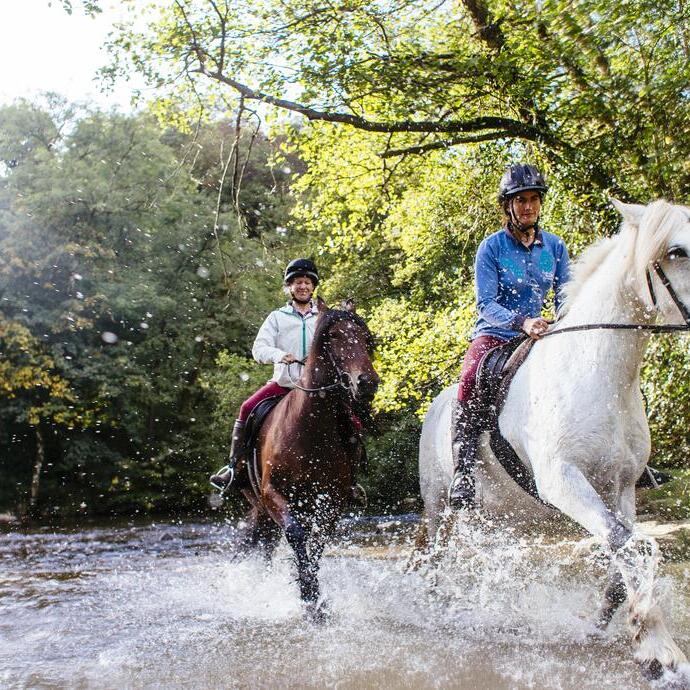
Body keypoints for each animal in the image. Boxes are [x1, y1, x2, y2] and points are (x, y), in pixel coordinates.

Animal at [238, 299, 378, 619]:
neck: (308, 429)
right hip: (260, 504)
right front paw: (309, 596)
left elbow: (317, 542)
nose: (367, 382)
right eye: (334, 336)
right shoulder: (273, 494)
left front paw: (314, 596)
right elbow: (297, 535)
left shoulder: (331, 501)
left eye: (366, 339)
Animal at [418, 199, 689, 677]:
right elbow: (628, 549)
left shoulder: (620, 489)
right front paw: (660, 647)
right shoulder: (562, 479)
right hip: (440, 509)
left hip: (503, 514)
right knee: (437, 560)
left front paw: (608, 626)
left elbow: (624, 555)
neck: (598, 370)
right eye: (677, 251)